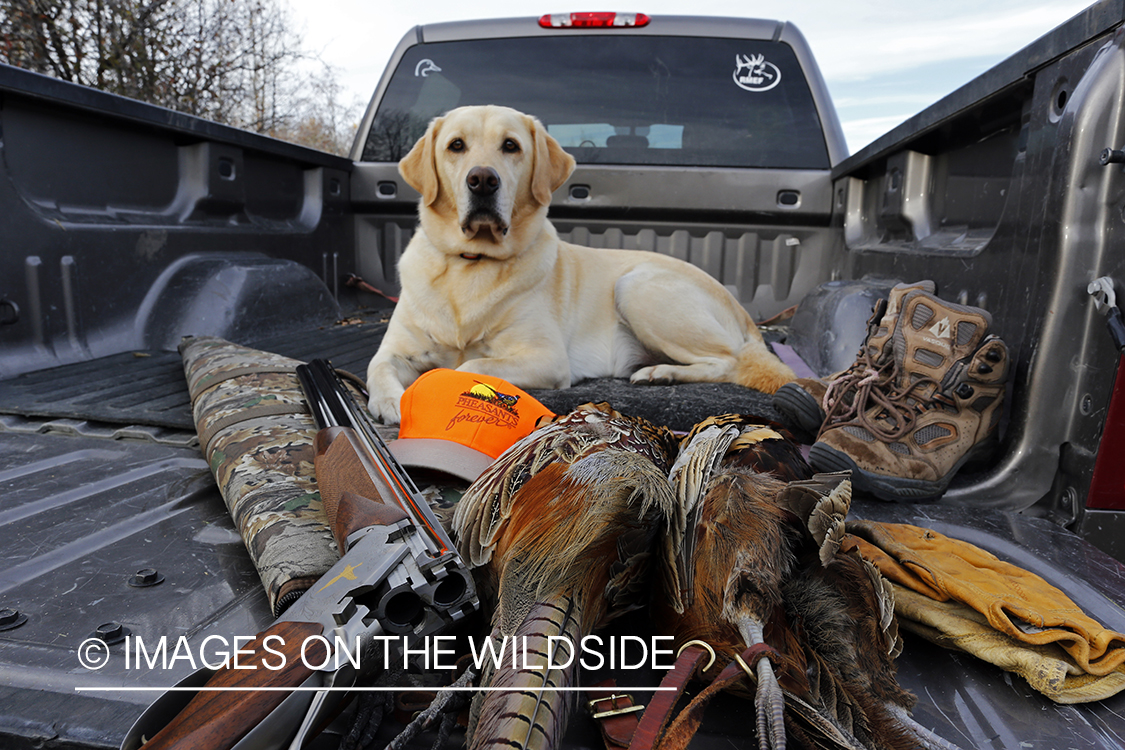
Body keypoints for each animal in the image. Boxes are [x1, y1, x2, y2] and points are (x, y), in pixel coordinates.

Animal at [364, 106, 796, 425]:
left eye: (510, 146)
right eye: (456, 145)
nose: (483, 180)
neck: (472, 263)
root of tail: (741, 311)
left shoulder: (546, 357)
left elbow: (469, 363)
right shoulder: (396, 348)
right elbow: (376, 366)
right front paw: (390, 401)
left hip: (637, 286)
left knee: (729, 362)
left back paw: (661, 374)